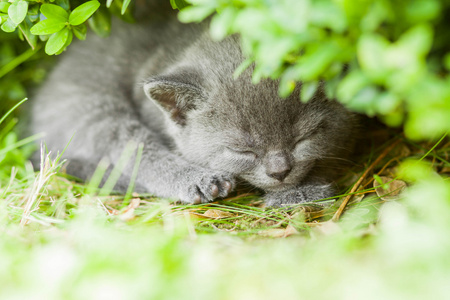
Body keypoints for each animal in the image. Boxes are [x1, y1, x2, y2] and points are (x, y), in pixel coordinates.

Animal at [30, 5, 356, 206]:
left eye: (305, 138)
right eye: (241, 150)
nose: (279, 172)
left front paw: (302, 188)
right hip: (92, 105)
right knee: (131, 150)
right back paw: (196, 180)